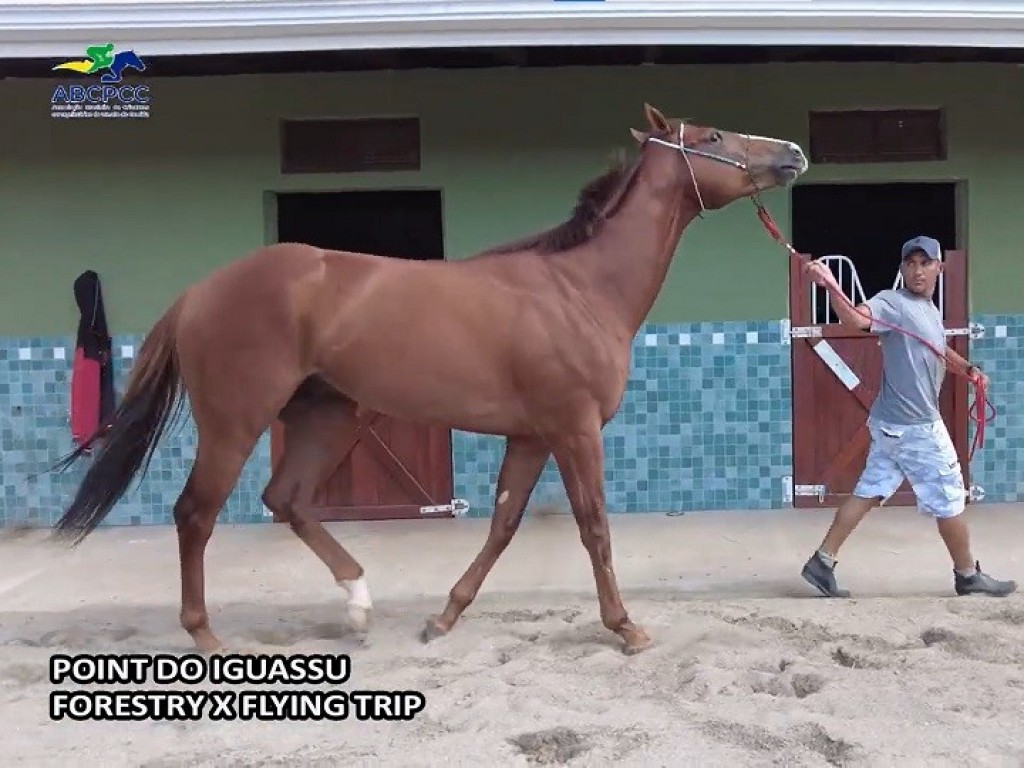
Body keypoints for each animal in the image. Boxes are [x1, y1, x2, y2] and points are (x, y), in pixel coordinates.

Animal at [54, 102, 806, 655]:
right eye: (711, 135)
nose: (792, 153)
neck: (580, 289)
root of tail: (199, 292)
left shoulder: (532, 435)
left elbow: (502, 525)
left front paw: (443, 617)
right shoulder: (574, 429)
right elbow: (594, 527)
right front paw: (626, 628)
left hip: (330, 415)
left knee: (286, 498)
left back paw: (358, 603)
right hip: (237, 422)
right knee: (196, 514)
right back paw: (208, 637)